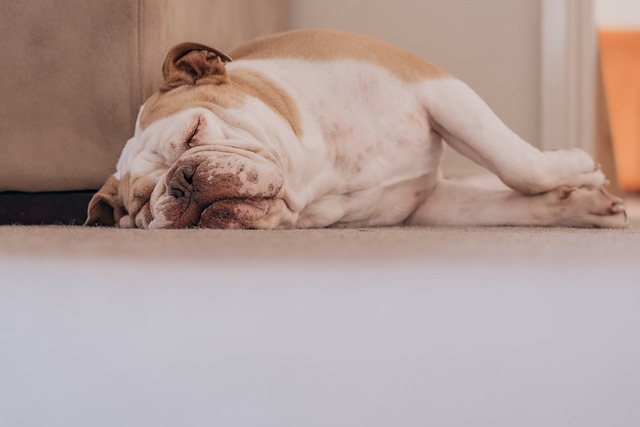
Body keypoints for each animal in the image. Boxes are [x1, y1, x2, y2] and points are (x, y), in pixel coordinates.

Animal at [85, 29, 627, 229]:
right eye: (140, 205)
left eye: (194, 133)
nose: (180, 183)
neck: (315, 176)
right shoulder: (428, 203)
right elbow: (507, 203)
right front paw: (579, 201)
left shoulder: (438, 89)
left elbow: (516, 165)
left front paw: (577, 167)